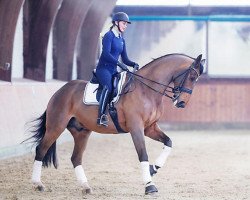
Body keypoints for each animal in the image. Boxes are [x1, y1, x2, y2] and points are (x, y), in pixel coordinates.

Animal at [28, 52, 204, 195]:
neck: (146, 90)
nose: (181, 103)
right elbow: (143, 154)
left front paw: (153, 169)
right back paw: (37, 184)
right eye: (191, 77)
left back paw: (85, 186)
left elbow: (169, 142)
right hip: (56, 126)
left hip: (82, 132)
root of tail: (60, 91)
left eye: (196, 79)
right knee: (41, 149)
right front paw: (149, 185)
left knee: (75, 158)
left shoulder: (150, 128)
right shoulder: (136, 128)